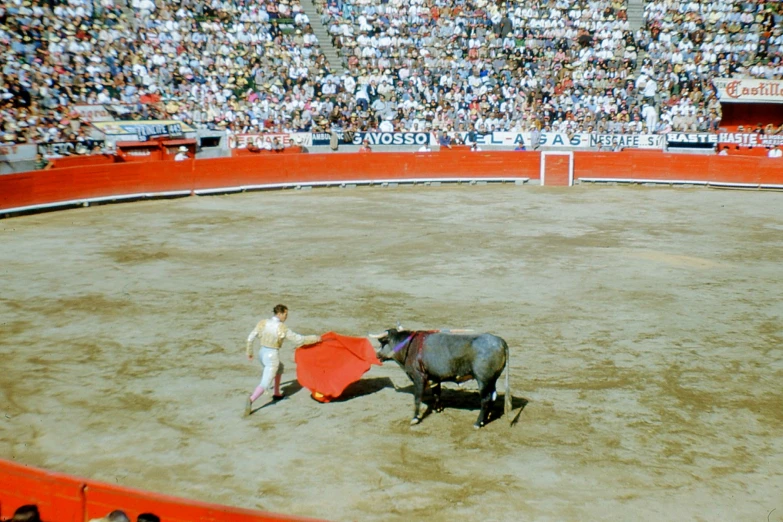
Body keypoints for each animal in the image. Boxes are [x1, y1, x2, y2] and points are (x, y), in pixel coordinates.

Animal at [374, 328, 516, 428]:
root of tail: (501, 342)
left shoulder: (419, 377)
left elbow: (417, 398)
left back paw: (477, 423)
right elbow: (437, 393)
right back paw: (485, 419)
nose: (377, 355)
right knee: (492, 397)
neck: (409, 346)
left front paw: (415, 418)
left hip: (483, 380)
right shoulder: (434, 377)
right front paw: (438, 409)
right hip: (492, 380)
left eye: (382, 343)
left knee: (485, 399)